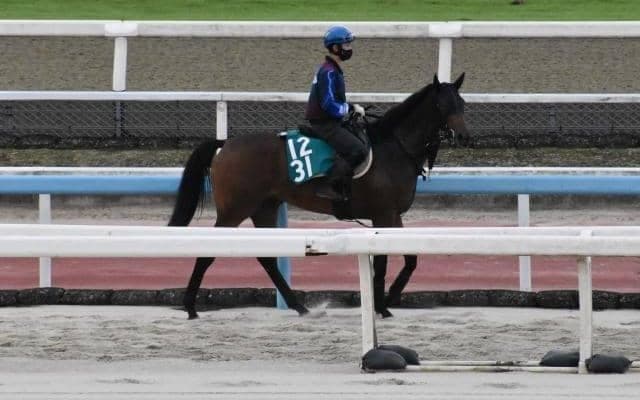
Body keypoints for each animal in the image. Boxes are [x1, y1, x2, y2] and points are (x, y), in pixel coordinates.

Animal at [169, 73, 471, 320]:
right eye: (442, 105)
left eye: (462, 103)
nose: (464, 136)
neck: (395, 148)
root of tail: (226, 144)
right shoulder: (383, 214)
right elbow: (383, 261)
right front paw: (381, 305)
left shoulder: (392, 215)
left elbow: (411, 258)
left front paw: (389, 299)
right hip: (235, 209)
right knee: (208, 251)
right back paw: (190, 305)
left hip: (265, 206)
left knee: (267, 258)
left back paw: (299, 306)